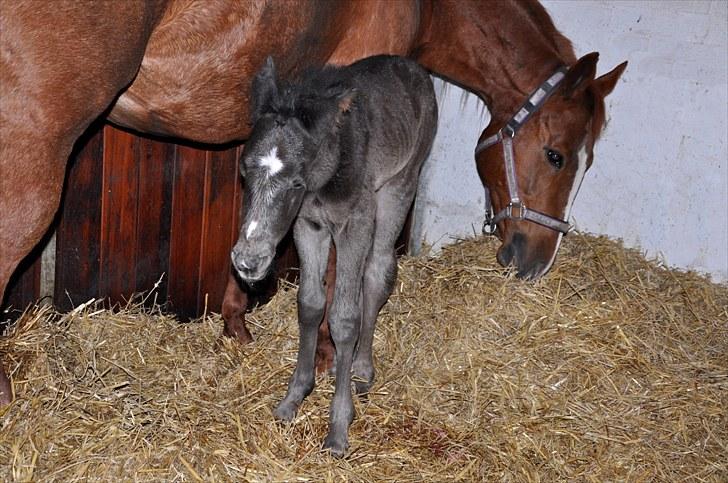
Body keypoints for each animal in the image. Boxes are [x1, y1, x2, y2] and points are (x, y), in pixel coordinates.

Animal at [0, 0, 624, 406]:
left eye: (587, 160)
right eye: (557, 155)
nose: (535, 259)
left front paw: (237, 319)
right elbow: (335, 269)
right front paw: (327, 356)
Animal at [232, 56, 438, 458]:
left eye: (295, 182)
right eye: (244, 172)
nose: (249, 261)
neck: (324, 175)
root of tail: (414, 68)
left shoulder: (354, 225)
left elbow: (344, 318)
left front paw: (339, 427)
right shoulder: (308, 225)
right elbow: (310, 305)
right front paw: (294, 398)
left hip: (399, 186)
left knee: (377, 272)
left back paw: (361, 368)